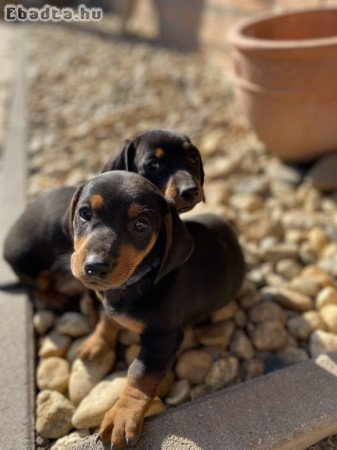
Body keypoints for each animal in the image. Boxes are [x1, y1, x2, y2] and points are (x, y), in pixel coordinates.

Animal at [70, 171, 244, 448]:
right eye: (85, 213)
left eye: (141, 225)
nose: (95, 267)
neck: (139, 278)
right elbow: (108, 318)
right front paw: (96, 341)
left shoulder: (162, 337)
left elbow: (140, 373)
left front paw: (123, 414)